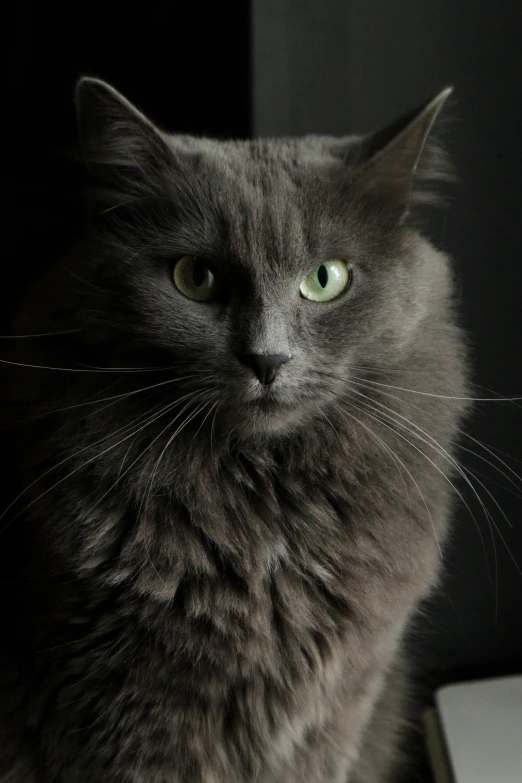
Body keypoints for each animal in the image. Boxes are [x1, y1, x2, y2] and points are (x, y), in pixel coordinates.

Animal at [0, 81, 468, 783]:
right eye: (195, 277)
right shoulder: (117, 722)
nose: (267, 359)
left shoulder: (337, 711)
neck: (264, 530)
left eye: (325, 278)